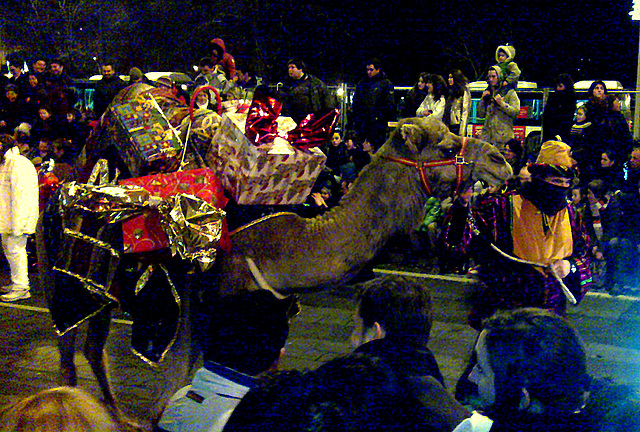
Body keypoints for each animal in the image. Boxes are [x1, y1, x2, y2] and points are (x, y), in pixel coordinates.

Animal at [38, 111, 510, 426]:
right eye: (446, 146)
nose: (500, 160)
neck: (292, 243)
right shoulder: (201, 301)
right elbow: (182, 374)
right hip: (63, 277)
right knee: (69, 347)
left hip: (102, 294)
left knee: (92, 347)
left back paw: (114, 414)